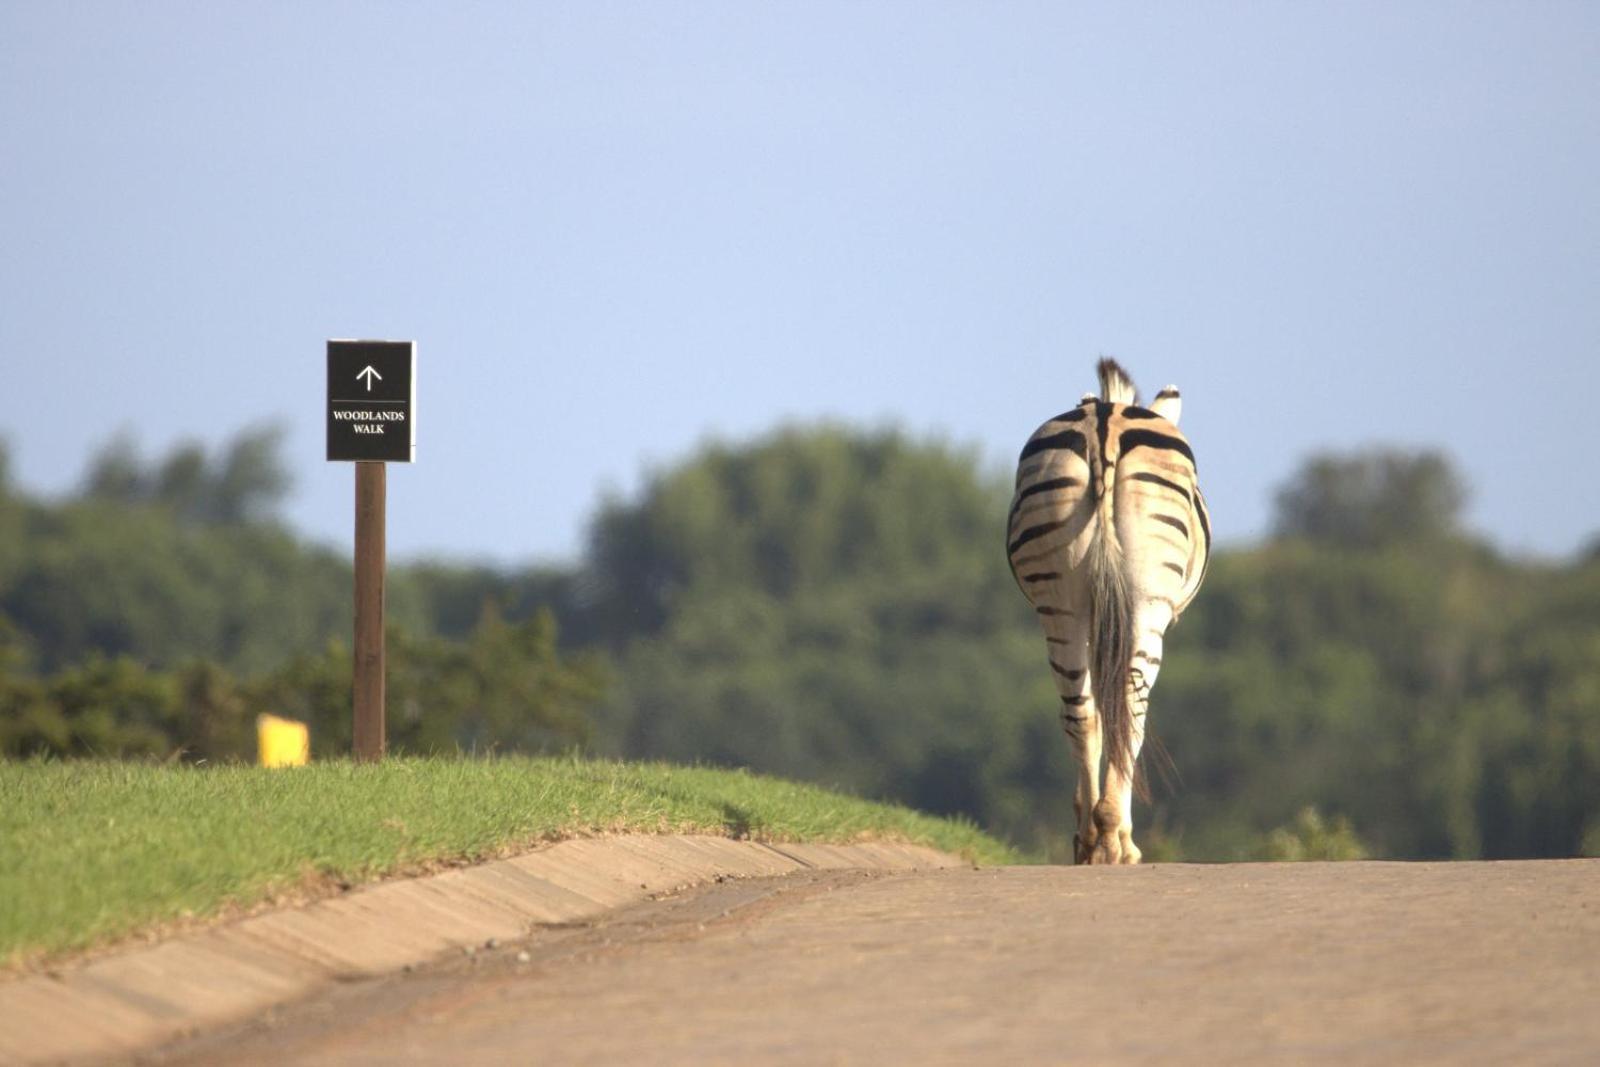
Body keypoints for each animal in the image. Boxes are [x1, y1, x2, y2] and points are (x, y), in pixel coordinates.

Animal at [1004, 358, 1203, 870]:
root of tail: (1105, 424)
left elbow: (1093, 706)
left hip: (1061, 604)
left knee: (1080, 712)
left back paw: (1091, 839)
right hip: (1147, 599)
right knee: (1132, 706)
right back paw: (1115, 839)